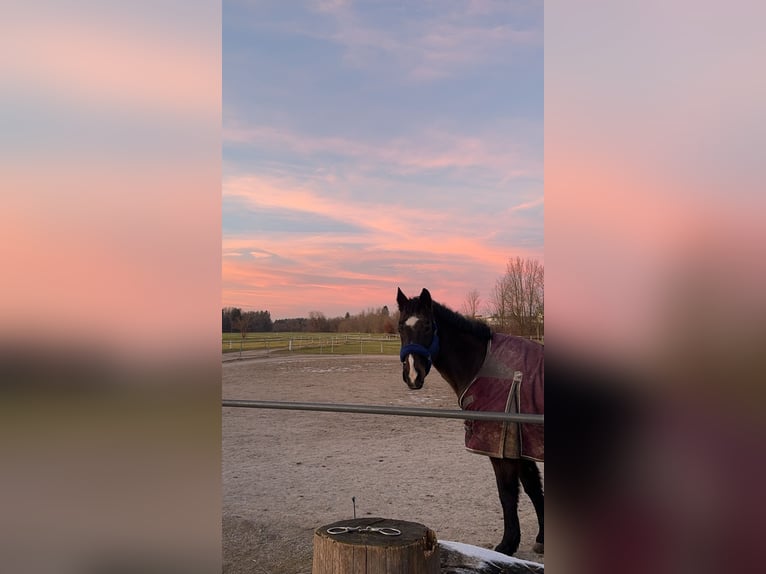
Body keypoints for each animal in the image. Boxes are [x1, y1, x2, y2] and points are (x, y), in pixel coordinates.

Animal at [396, 288, 544, 560]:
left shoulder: (501, 448)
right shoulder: (521, 445)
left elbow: (507, 493)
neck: (481, 364)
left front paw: (507, 545)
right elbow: (532, 487)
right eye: (401, 326)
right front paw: (541, 538)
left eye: (427, 325)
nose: (413, 375)